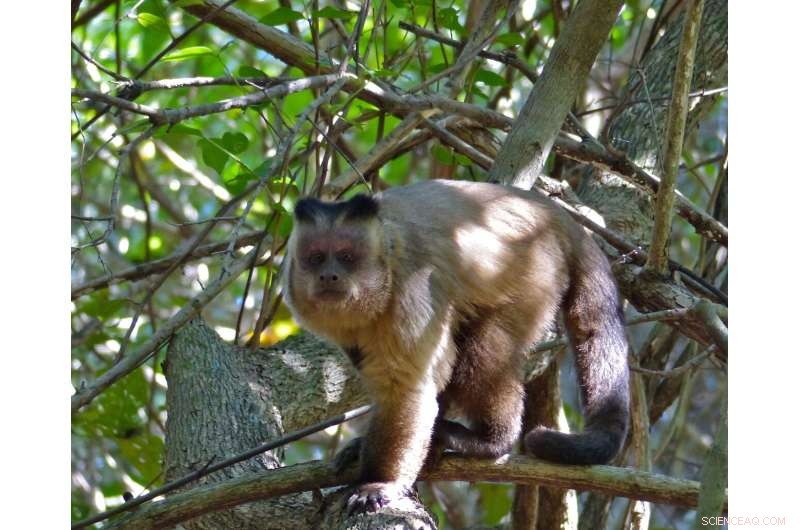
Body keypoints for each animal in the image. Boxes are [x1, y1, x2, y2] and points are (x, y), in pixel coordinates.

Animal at [283, 179, 629, 514]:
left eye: (346, 257)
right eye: (315, 258)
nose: (329, 275)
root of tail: (552, 212)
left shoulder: (410, 288)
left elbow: (408, 391)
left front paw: (379, 483)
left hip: (535, 271)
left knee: (483, 354)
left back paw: (491, 441)